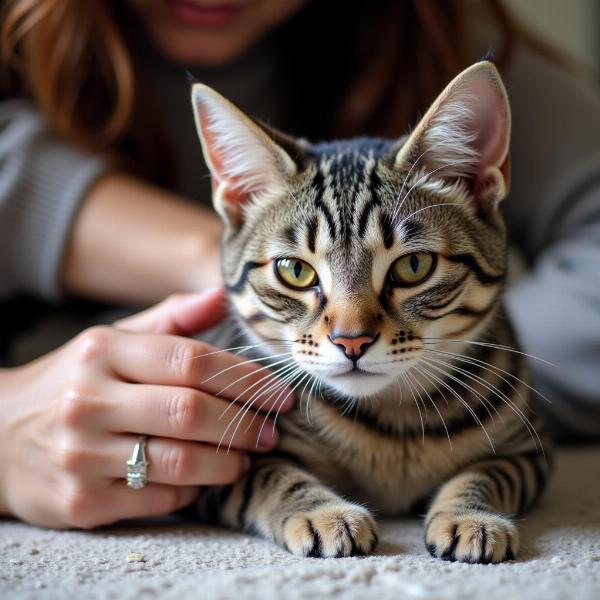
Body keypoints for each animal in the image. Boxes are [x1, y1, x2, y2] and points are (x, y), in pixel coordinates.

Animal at [190, 61, 552, 564]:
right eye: (295, 271)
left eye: (413, 266)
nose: (351, 340)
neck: (392, 425)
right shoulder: (223, 462)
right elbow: (272, 476)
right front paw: (324, 513)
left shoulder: (529, 451)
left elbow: (488, 473)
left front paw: (470, 515)